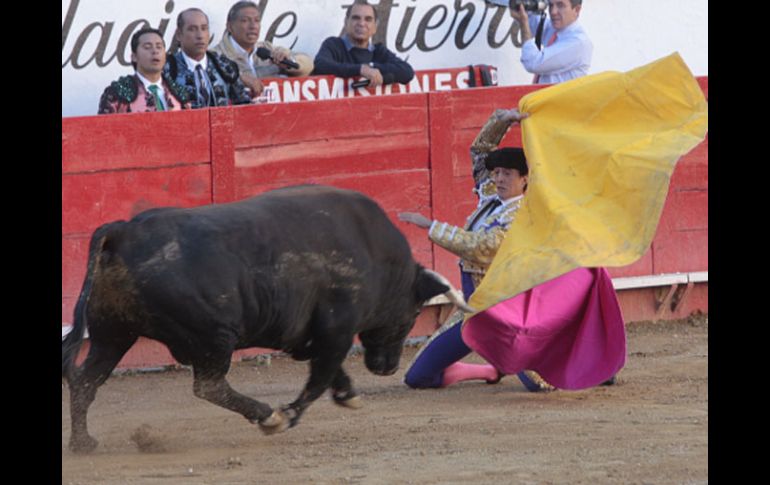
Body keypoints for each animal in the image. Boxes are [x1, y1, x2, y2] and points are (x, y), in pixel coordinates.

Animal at [61, 183, 468, 452]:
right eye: (412, 312)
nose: (388, 367)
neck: (377, 255)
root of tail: (123, 231)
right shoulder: (337, 326)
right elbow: (320, 376)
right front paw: (288, 414)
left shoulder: (305, 333)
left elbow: (328, 369)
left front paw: (347, 394)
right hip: (211, 336)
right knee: (208, 385)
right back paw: (266, 415)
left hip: (112, 333)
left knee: (85, 380)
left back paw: (83, 443)